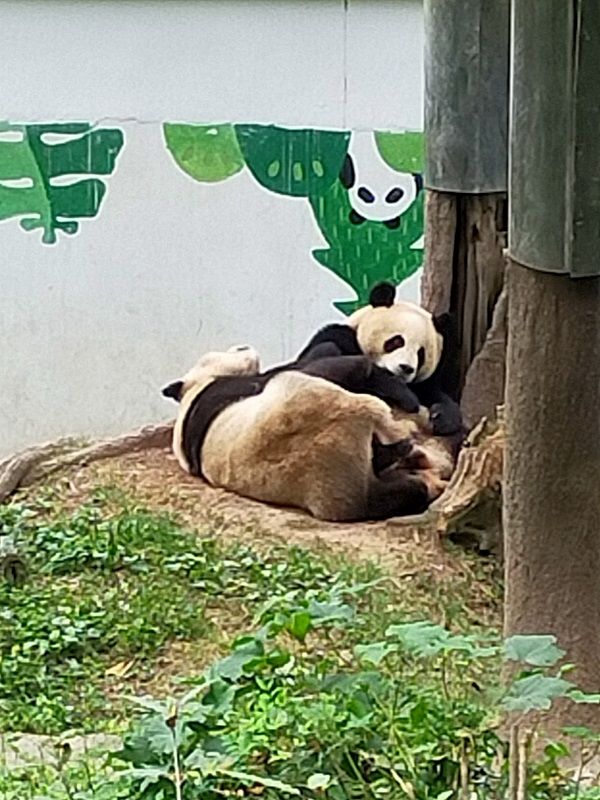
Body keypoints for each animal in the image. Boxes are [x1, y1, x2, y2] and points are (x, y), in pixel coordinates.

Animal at [162, 346, 448, 520]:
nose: (243, 346)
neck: (192, 392)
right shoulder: (231, 388)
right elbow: (338, 363)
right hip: (313, 396)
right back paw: (403, 440)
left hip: (341, 491)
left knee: (389, 495)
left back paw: (419, 473)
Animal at [296, 282, 464, 444]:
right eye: (397, 341)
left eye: (421, 353)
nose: (406, 368)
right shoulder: (335, 337)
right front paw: (403, 394)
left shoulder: (423, 384)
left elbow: (435, 394)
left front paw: (444, 418)